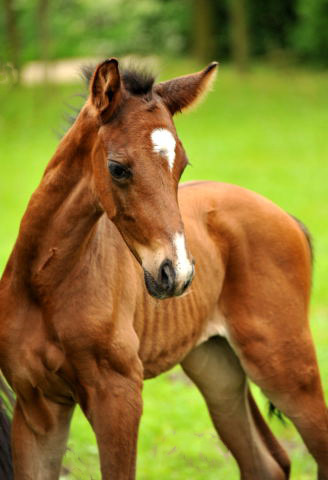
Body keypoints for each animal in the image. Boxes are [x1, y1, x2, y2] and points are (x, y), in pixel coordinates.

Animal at [0, 58, 326, 478]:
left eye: (182, 165)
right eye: (117, 168)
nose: (178, 273)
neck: (45, 284)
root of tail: (286, 216)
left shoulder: (119, 396)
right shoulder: (35, 406)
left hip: (285, 364)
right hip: (217, 367)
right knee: (265, 462)